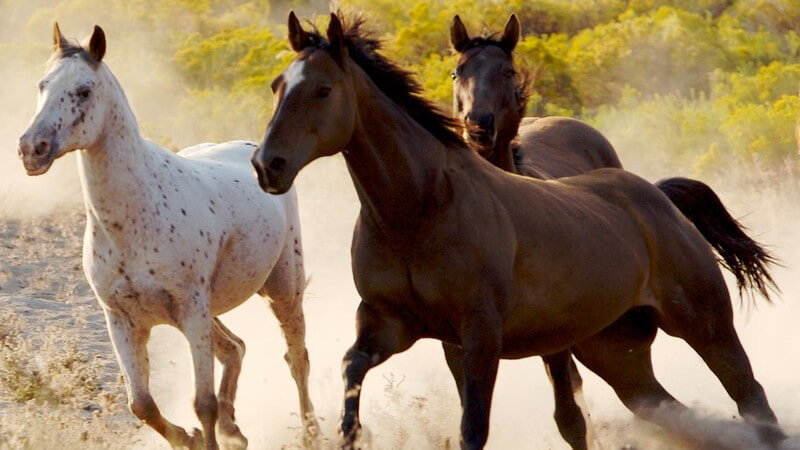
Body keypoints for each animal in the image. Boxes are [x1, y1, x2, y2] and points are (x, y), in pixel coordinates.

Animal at [17, 25, 318, 450]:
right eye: (42, 85)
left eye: (84, 90)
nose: (32, 149)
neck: (136, 219)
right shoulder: (122, 321)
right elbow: (142, 405)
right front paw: (188, 438)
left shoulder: (191, 312)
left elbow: (203, 403)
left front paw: (201, 434)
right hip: (203, 312)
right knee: (235, 348)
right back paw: (234, 430)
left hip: (280, 289)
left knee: (296, 359)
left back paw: (311, 433)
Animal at [253, 13, 784, 450]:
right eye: (278, 85)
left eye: (323, 90)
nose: (267, 165)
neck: (418, 210)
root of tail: (656, 195)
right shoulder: (393, 326)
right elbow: (351, 374)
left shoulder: (480, 335)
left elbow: (475, 428)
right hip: (617, 352)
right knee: (672, 412)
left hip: (704, 323)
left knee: (751, 397)